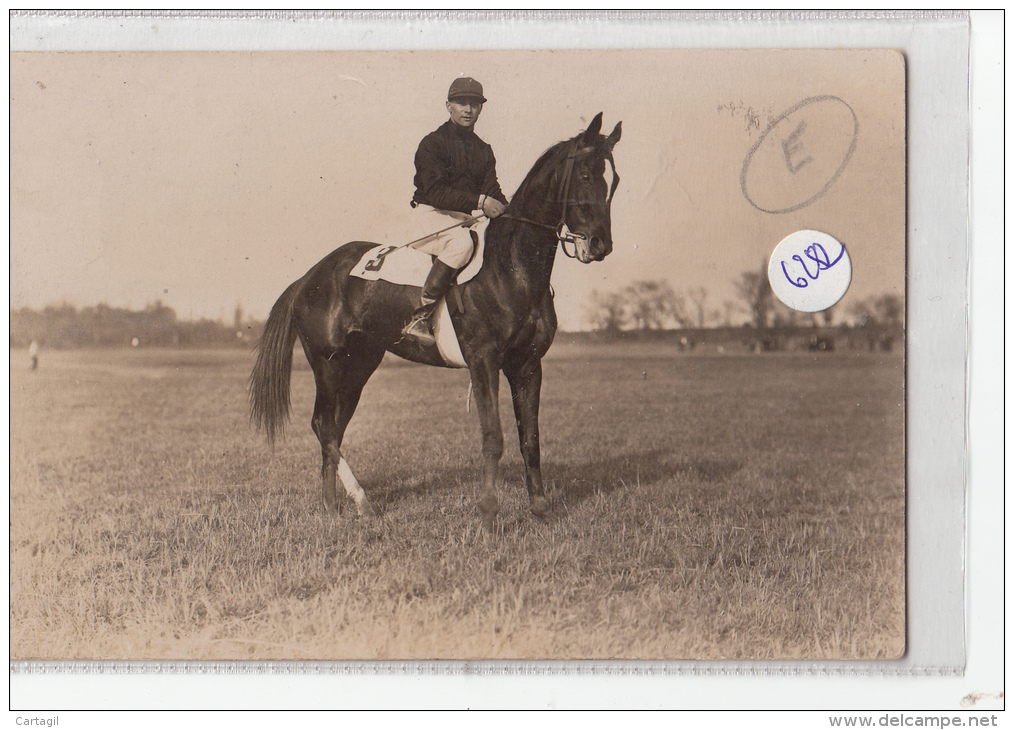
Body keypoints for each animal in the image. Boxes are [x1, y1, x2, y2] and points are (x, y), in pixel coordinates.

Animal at [249, 112, 620, 531]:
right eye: (586, 175)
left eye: (611, 180)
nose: (600, 245)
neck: (513, 270)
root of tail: (310, 276)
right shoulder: (483, 361)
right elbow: (493, 438)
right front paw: (489, 515)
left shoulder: (527, 365)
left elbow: (531, 439)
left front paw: (540, 509)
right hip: (326, 365)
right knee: (323, 426)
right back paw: (354, 502)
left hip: (359, 365)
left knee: (335, 428)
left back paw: (339, 504)